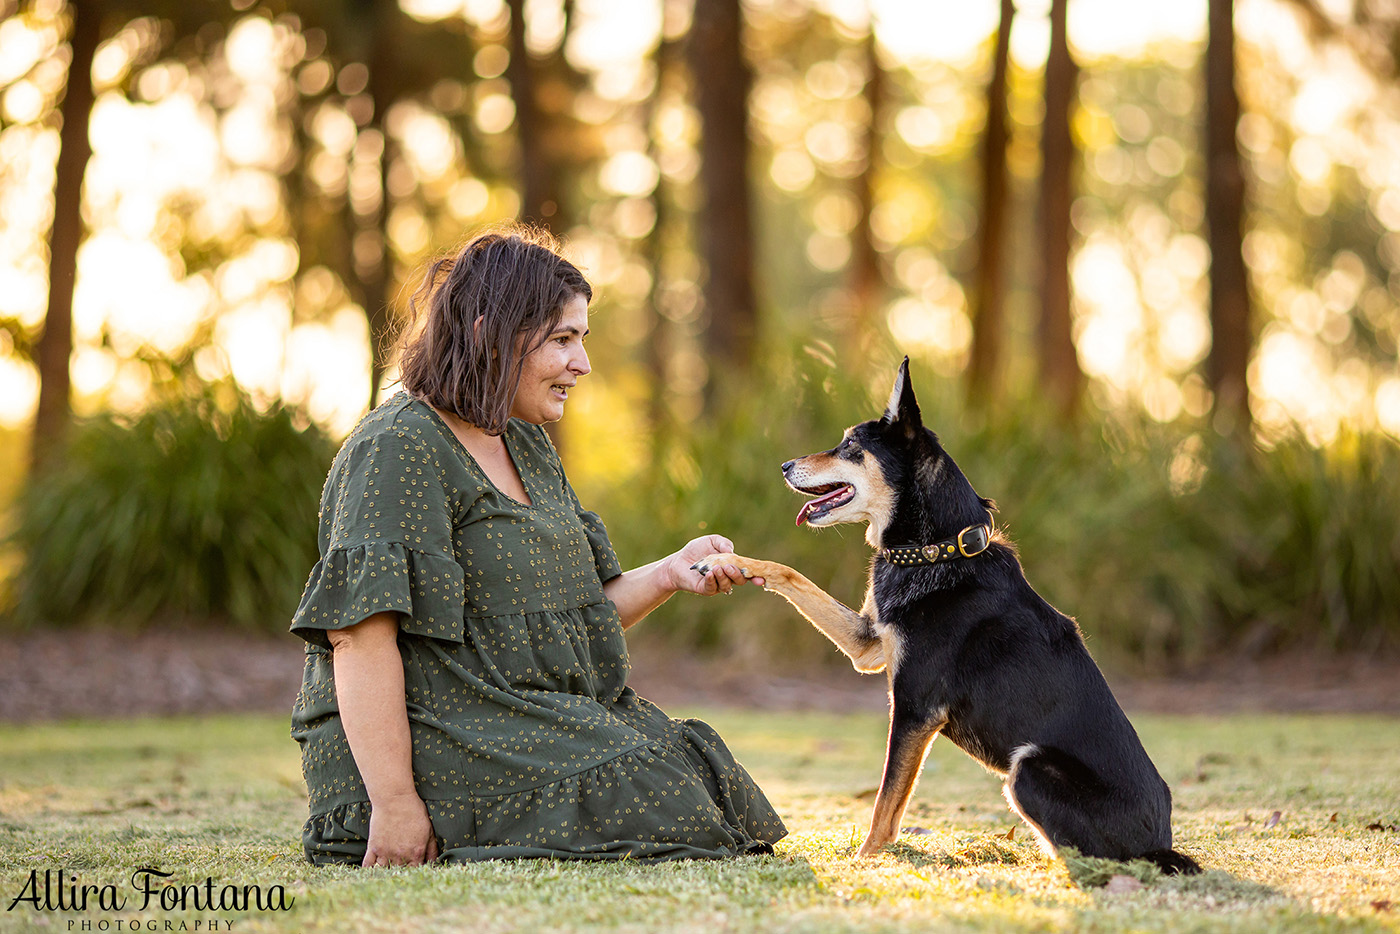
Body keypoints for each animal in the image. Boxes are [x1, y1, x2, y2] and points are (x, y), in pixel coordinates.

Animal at [694, 361, 1198, 873]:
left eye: (851, 446)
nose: (783, 466)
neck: (935, 552)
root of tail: (1160, 843)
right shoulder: (868, 645)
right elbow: (789, 573)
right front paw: (723, 562)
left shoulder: (915, 708)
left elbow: (885, 806)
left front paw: (862, 861)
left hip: (1028, 767)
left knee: (1081, 857)